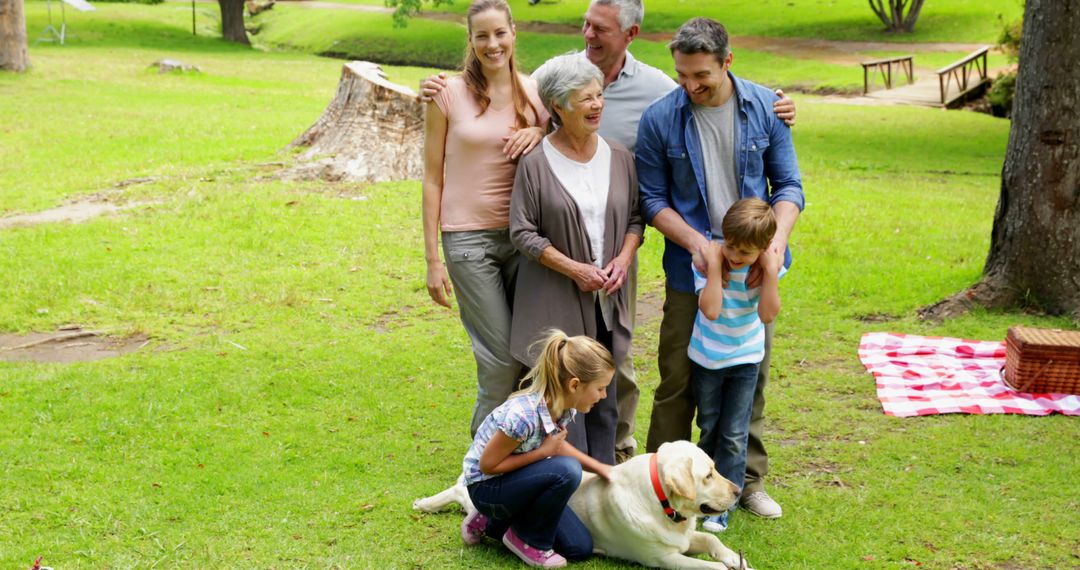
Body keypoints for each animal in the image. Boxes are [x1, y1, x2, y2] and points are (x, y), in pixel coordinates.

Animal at [410, 440, 751, 570]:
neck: (662, 504)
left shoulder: (682, 538)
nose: (737, 491)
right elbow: (711, 567)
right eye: (708, 475)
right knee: (460, 493)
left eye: (714, 468)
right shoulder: (662, 559)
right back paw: (427, 504)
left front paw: (738, 559)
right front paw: (729, 564)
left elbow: (711, 541)